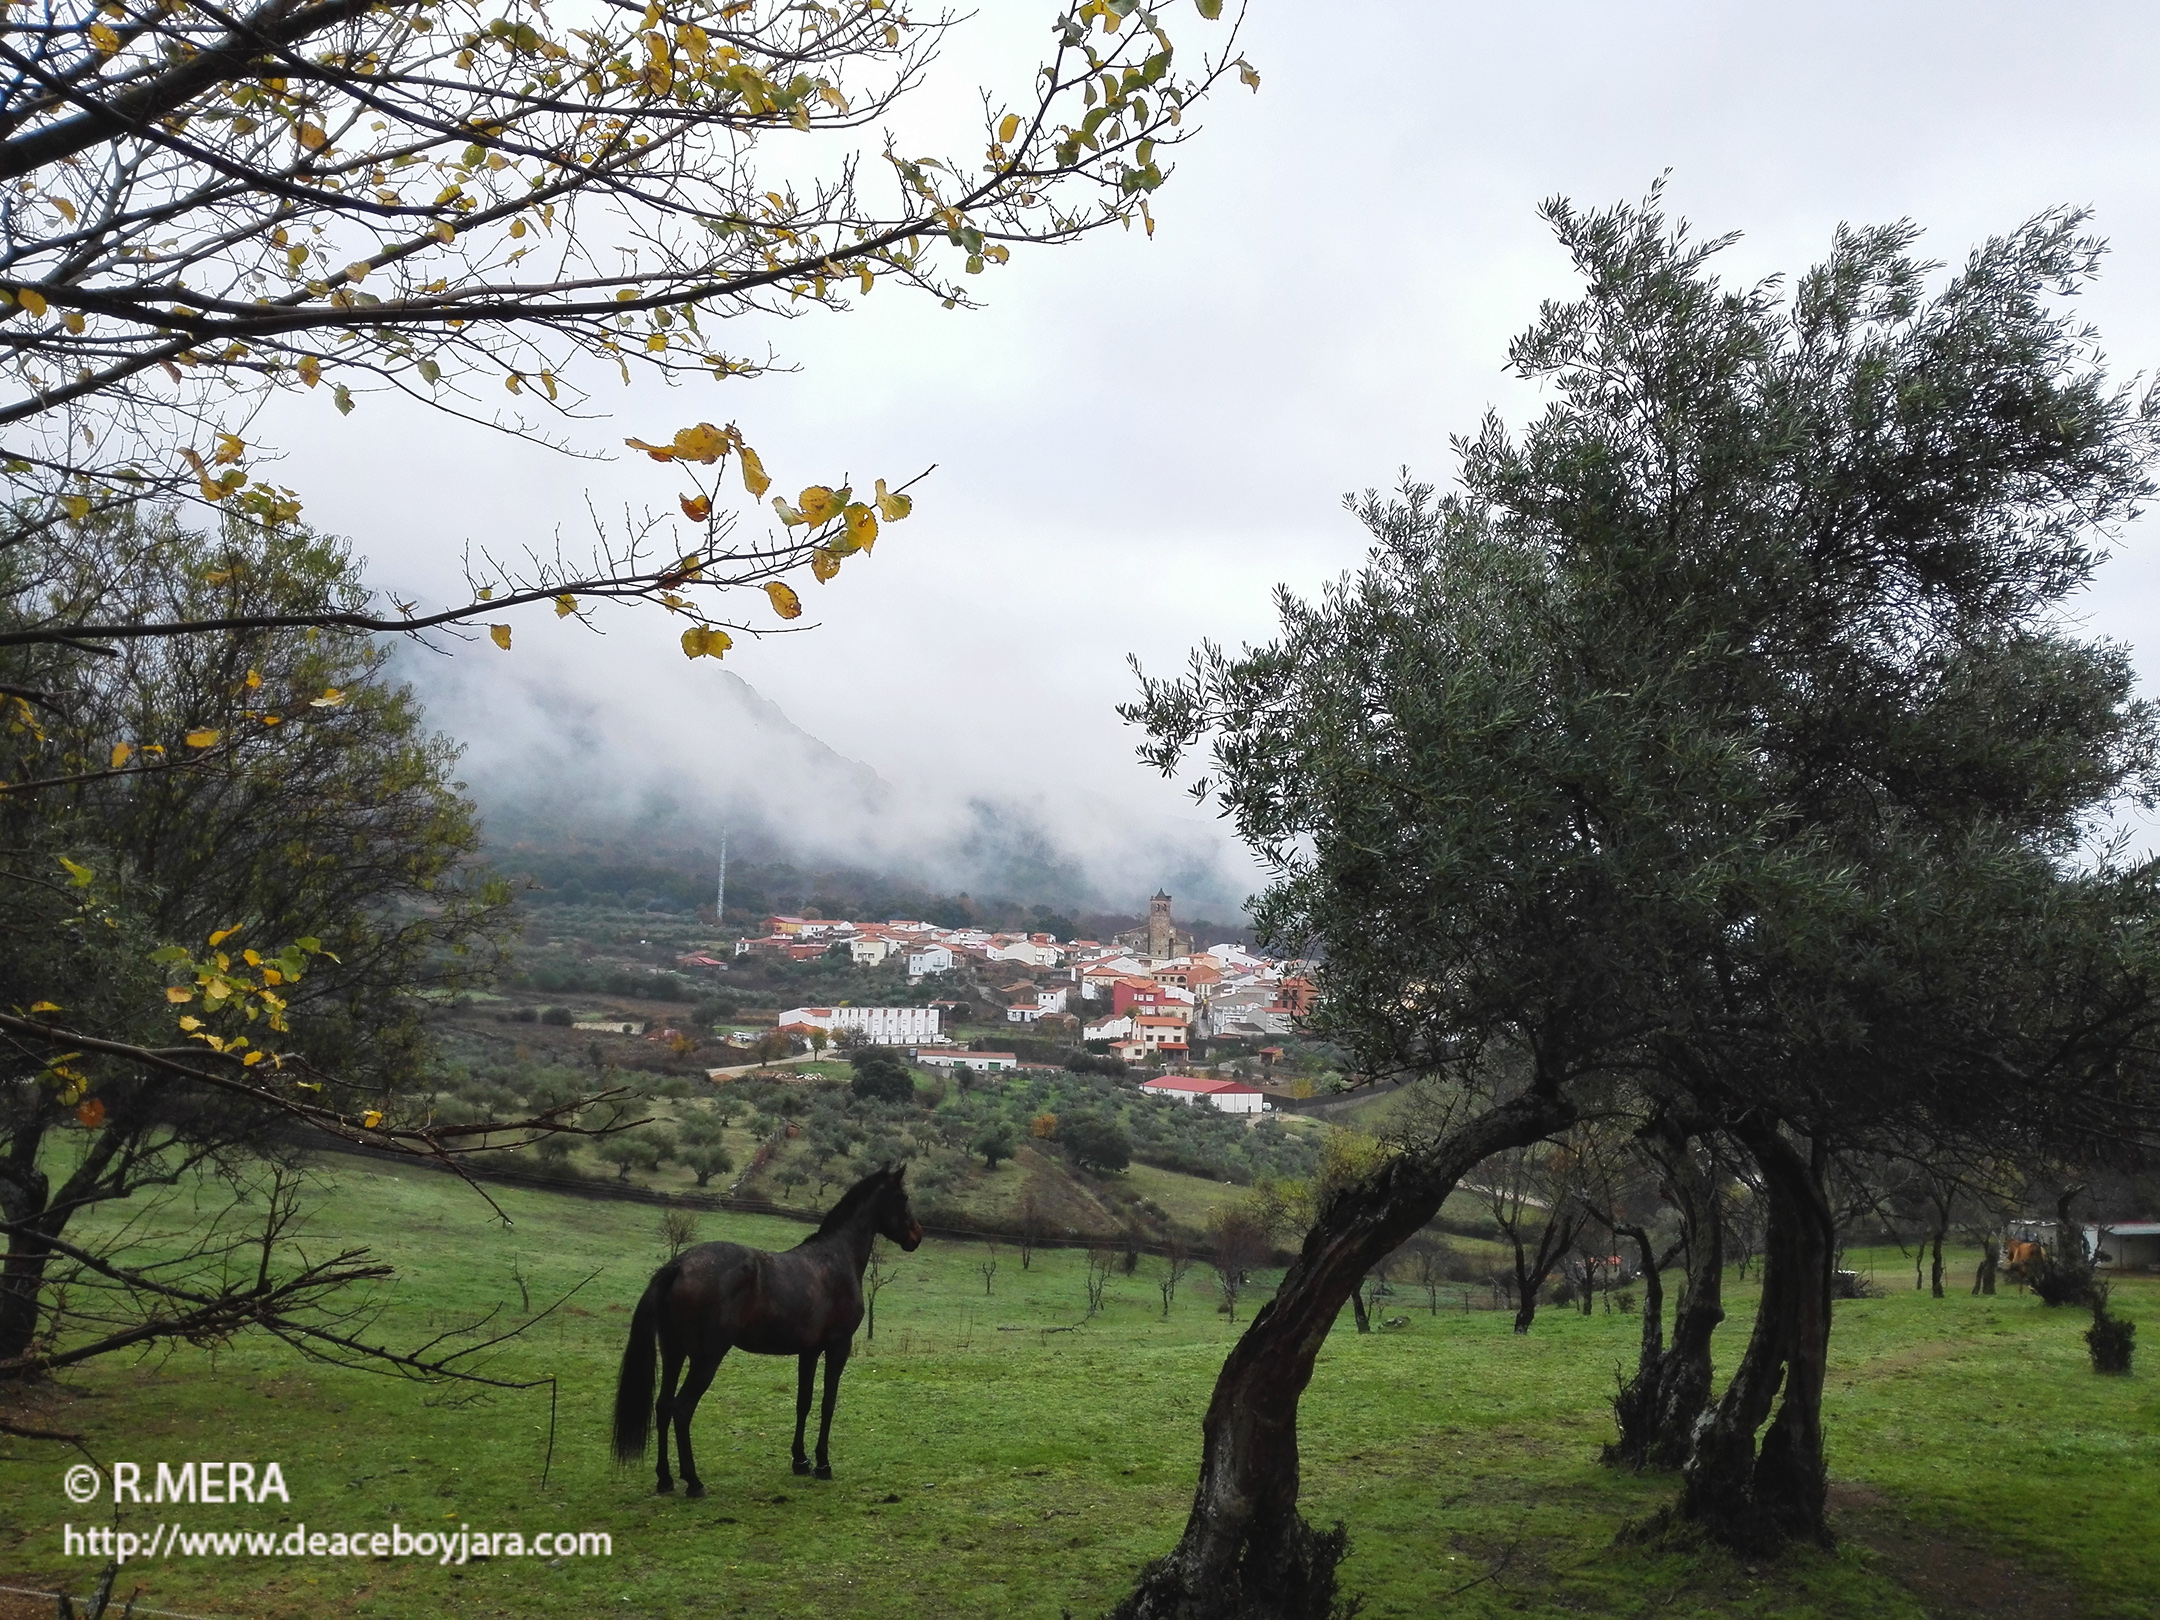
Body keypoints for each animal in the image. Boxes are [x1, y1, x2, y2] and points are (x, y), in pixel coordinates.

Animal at [609, 1166, 920, 1494]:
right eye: (903, 1197)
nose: (917, 1235)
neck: (835, 1258)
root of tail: (680, 1264)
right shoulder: (838, 1346)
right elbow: (827, 1403)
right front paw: (823, 1464)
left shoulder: (809, 1351)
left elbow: (804, 1402)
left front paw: (800, 1461)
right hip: (706, 1359)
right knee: (681, 1409)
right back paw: (693, 1482)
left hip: (673, 1353)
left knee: (664, 1406)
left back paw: (665, 1479)